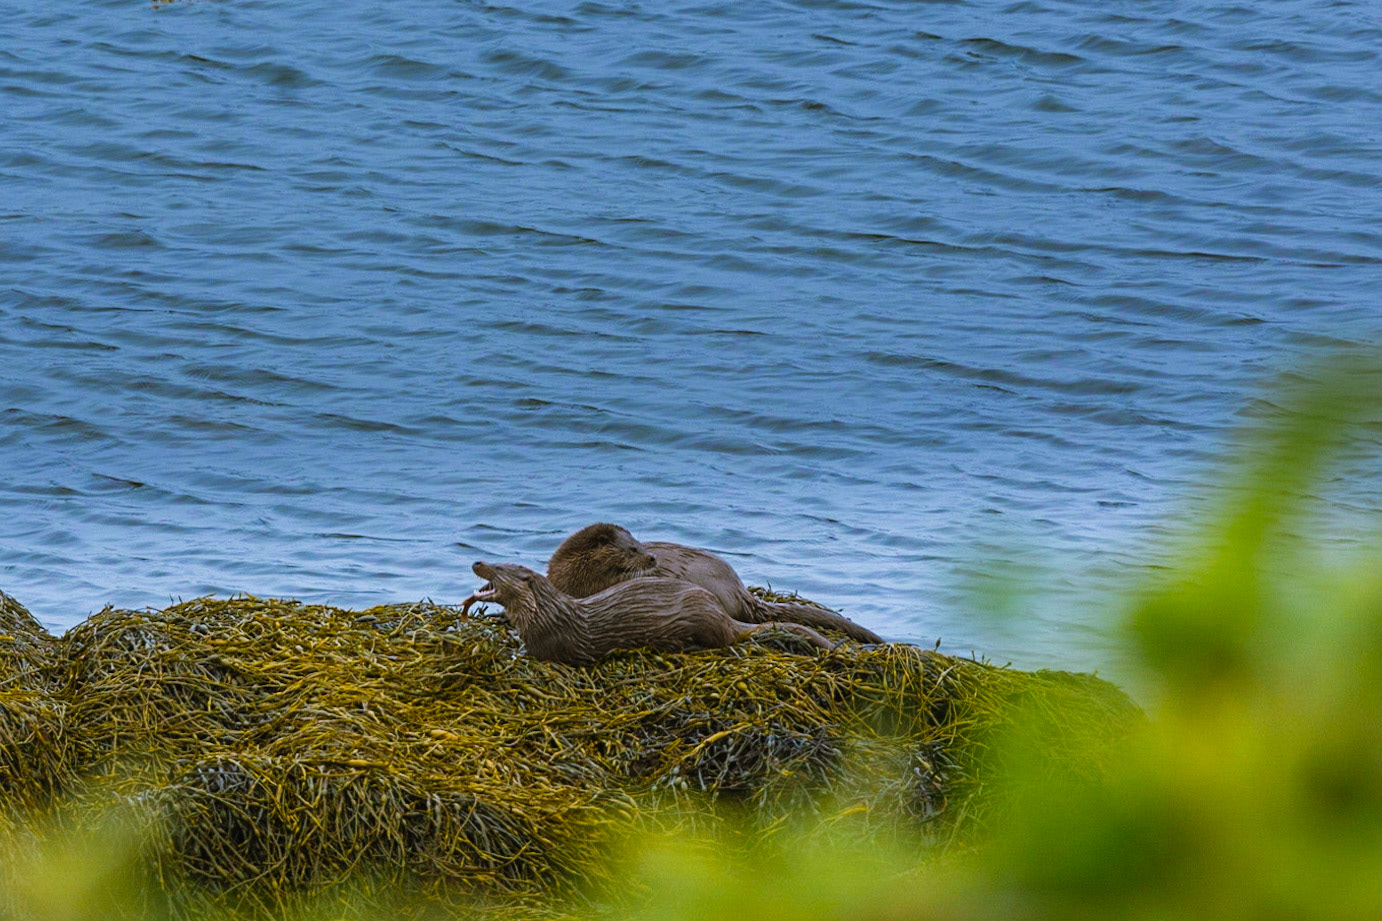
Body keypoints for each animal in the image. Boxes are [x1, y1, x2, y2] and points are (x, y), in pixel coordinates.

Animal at [461, 561, 834, 666]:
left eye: (498, 568)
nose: (477, 561)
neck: (547, 615)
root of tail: (719, 609)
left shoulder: (548, 644)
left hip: (701, 617)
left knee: (726, 641)